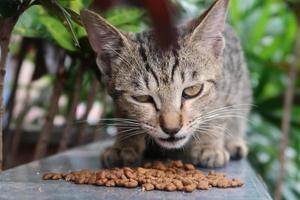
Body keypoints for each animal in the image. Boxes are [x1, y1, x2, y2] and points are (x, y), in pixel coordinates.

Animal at [81, 0, 252, 169]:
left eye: (192, 90)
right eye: (142, 98)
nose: (172, 129)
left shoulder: (228, 86)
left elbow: (218, 113)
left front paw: (208, 146)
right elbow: (124, 117)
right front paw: (124, 146)